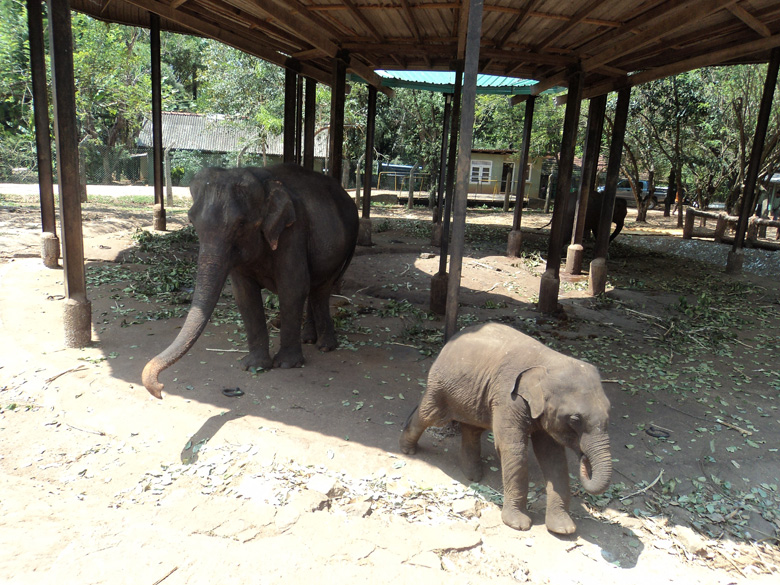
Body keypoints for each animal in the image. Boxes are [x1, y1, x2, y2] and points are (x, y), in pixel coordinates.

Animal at [142, 167, 358, 400]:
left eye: (241, 224)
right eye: (192, 221)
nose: (160, 389)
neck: (263, 180)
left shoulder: (293, 231)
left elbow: (292, 287)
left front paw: (286, 364)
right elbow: (244, 295)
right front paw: (254, 366)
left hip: (342, 249)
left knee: (322, 289)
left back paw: (325, 346)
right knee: (315, 287)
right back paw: (308, 338)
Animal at [400, 322, 612, 536]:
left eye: (609, 411)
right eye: (575, 419)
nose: (584, 458)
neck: (549, 363)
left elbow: (553, 457)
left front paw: (563, 529)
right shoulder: (508, 398)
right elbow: (513, 449)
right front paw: (518, 524)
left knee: (472, 428)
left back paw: (473, 475)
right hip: (441, 385)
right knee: (429, 415)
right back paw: (407, 450)